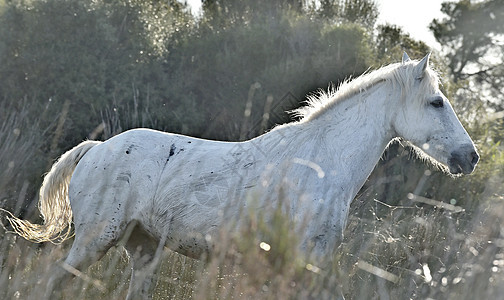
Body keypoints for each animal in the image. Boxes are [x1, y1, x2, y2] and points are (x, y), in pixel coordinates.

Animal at [3, 52, 478, 298]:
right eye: (436, 102)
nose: (469, 157)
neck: (320, 163)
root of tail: (95, 149)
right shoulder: (305, 262)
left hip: (143, 248)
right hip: (94, 241)